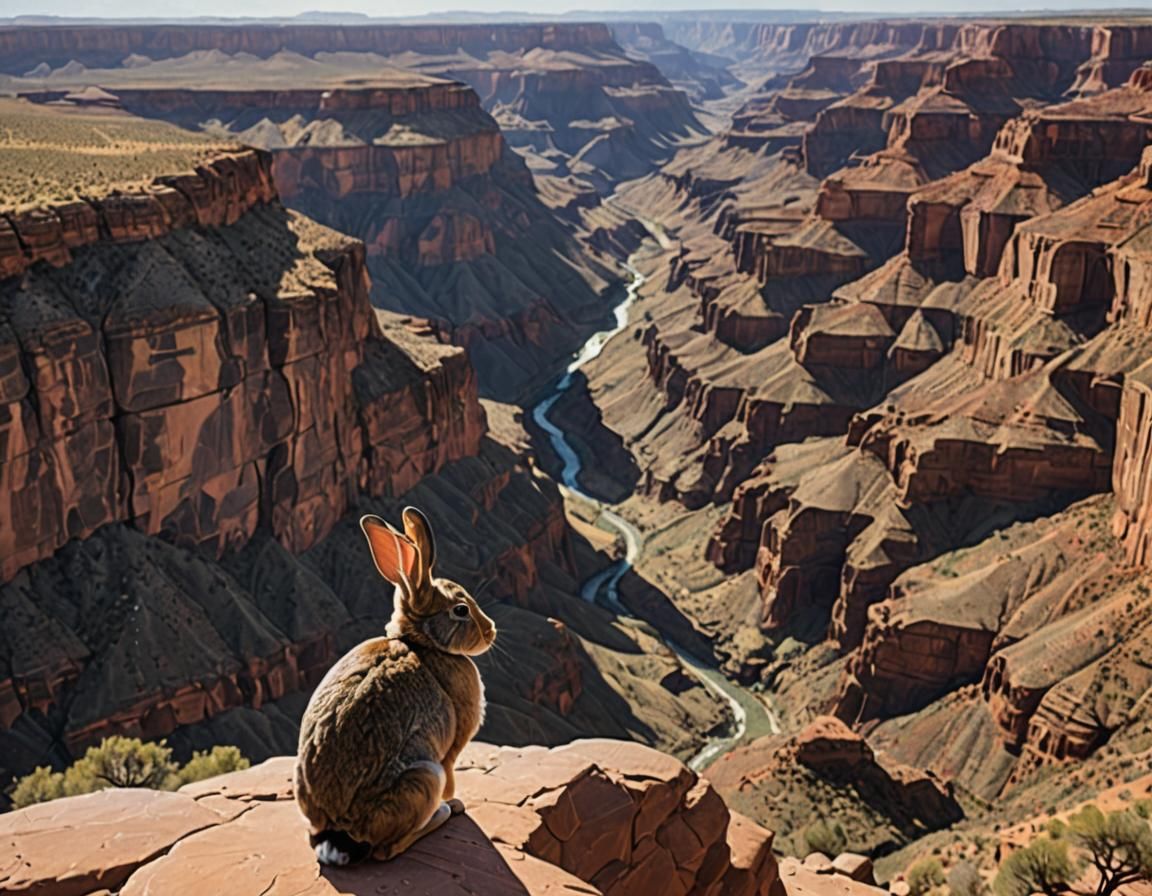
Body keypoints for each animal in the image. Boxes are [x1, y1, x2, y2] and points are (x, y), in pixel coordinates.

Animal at [294, 506, 497, 866]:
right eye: (460, 610)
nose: (491, 631)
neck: (423, 644)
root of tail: (337, 833)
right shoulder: (450, 752)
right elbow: (453, 773)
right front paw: (456, 802)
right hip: (424, 778)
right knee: (385, 851)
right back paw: (443, 813)